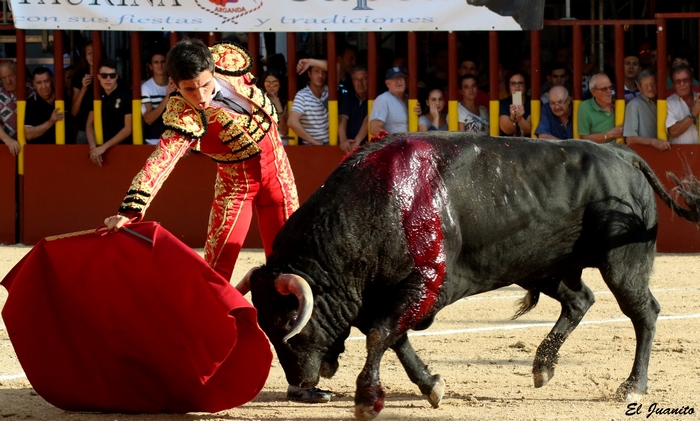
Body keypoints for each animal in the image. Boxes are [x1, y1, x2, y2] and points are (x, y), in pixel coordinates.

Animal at [238, 132, 700, 420]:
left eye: (288, 323)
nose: (302, 383)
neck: (374, 209)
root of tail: (622, 156)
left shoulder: (425, 282)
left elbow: (381, 335)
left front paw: (367, 399)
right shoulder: (389, 295)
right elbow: (392, 337)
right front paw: (431, 385)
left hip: (623, 263)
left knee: (644, 312)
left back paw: (633, 386)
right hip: (540, 265)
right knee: (579, 300)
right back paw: (542, 367)